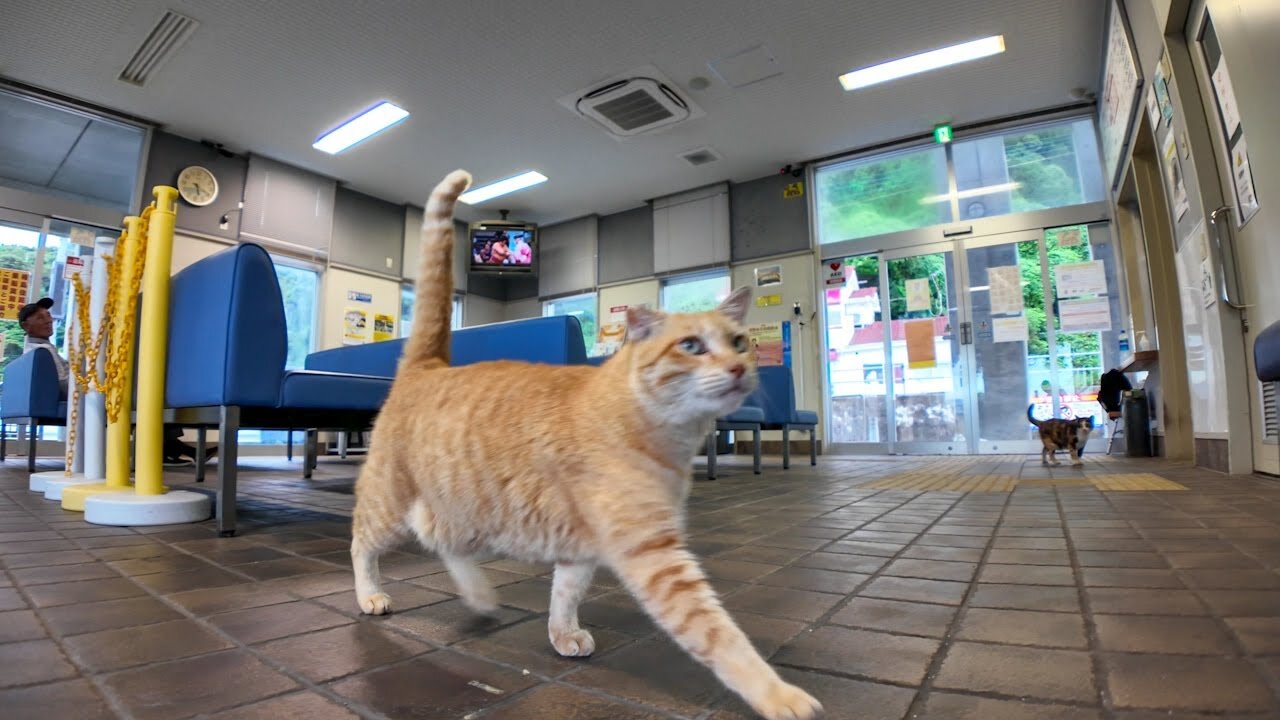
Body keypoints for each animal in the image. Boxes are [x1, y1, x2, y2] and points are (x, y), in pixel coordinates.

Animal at [353, 169, 819, 717]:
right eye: (691, 345)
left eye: (739, 342)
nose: (739, 368)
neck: (664, 432)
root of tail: (428, 366)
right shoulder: (654, 555)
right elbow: (720, 636)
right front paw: (778, 694)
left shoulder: (583, 548)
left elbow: (565, 594)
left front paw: (562, 634)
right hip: (391, 503)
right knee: (362, 542)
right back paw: (370, 595)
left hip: (465, 511)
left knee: (441, 543)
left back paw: (480, 598)